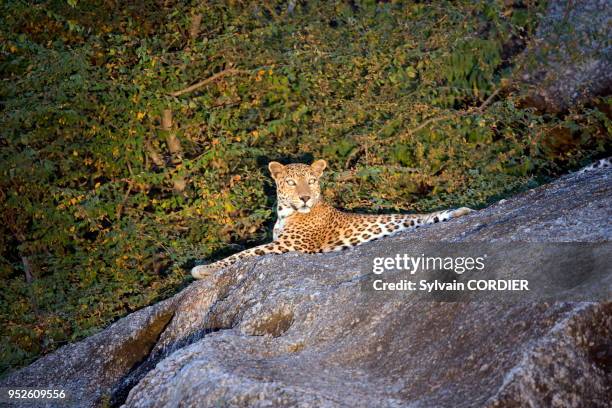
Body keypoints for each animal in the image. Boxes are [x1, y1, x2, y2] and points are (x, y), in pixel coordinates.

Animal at [191, 158, 474, 278]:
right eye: (291, 183)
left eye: (312, 181)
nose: (305, 197)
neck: (285, 214)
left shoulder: (289, 245)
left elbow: (242, 254)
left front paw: (202, 269)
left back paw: (463, 211)